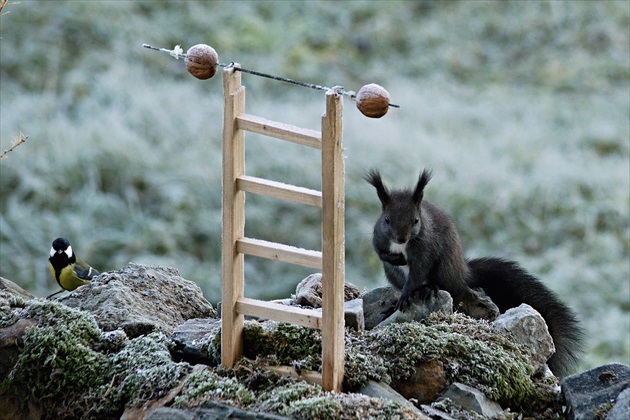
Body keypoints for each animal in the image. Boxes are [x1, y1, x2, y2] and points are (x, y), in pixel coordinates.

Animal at [366, 168, 588, 378]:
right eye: (386, 220)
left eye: (416, 220)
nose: (401, 238)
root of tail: (463, 273)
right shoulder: (379, 237)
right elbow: (380, 252)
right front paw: (396, 263)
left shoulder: (424, 249)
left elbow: (417, 272)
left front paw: (406, 293)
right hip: (394, 274)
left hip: (445, 267)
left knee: (445, 286)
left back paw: (427, 289)